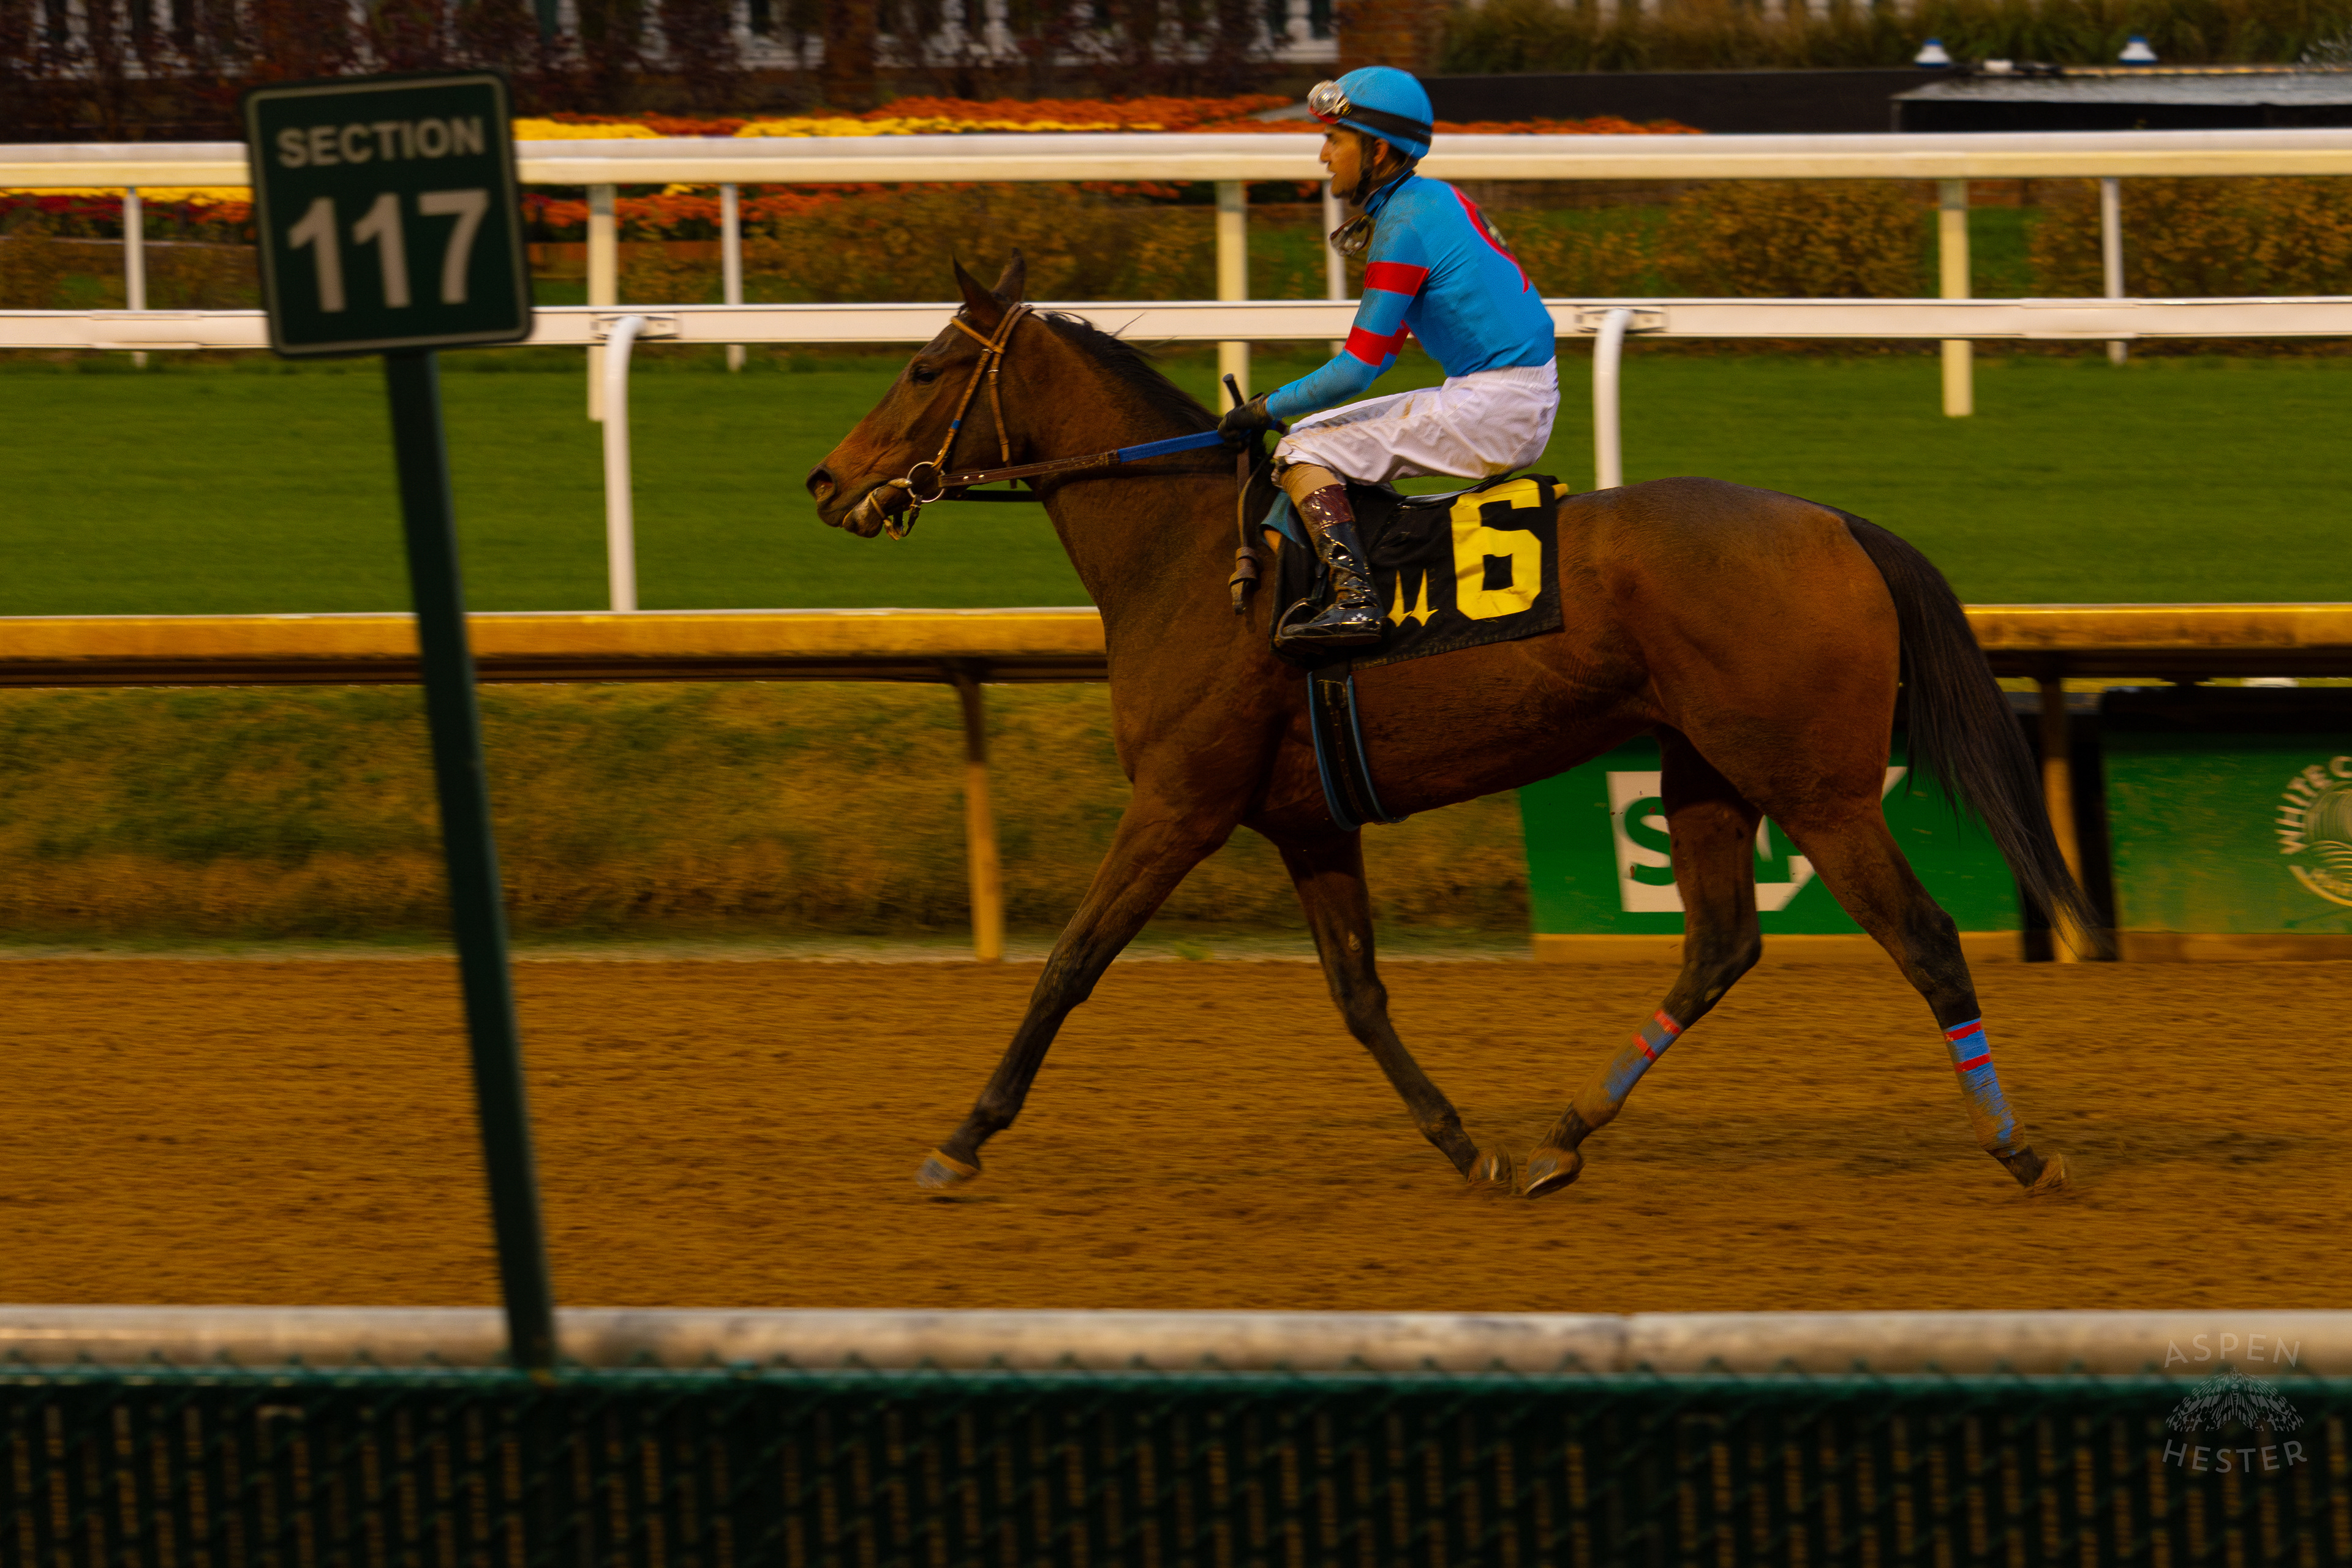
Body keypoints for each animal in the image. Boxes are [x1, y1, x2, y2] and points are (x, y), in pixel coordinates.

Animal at [807, 255, 2089, 1200]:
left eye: (922, 368)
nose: (825, 482)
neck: (1189, 556)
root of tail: (1835, 522)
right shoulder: (1307, 825)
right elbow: (1359, 994)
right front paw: (1467, 1145)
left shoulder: (1179, 805)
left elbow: (1071, 963)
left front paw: (962, 1139)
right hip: (1708, 774)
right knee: (1721, 946)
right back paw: (1563, 1135)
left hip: (1818, 789)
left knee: (1924, 939)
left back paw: (2019, 1147)